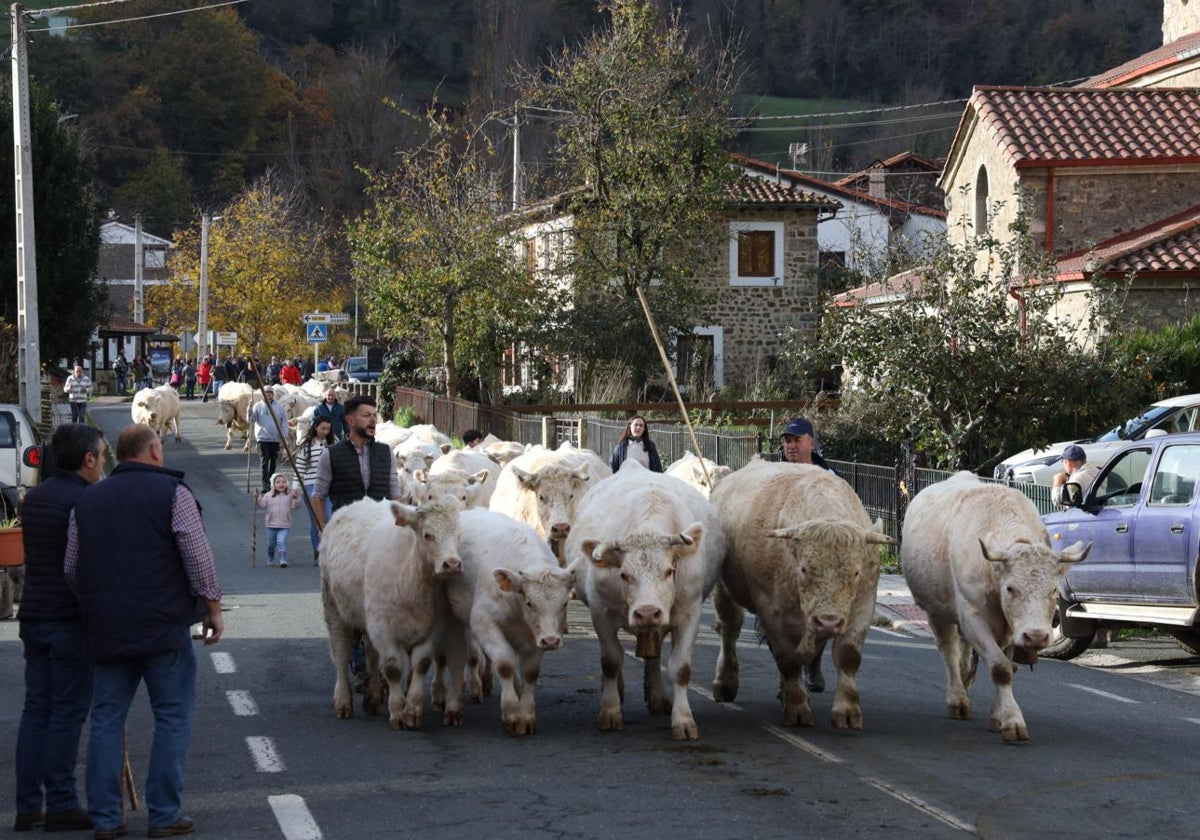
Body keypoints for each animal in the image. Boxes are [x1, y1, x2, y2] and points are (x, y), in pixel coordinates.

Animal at [319, 499, 463, 729]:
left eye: (459, 534)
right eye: (427, 535)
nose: (452, 564)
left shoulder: (433, 628)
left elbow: (421, 663)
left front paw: (412, 710)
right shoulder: (383, 629)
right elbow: (393, 668)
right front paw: (397, 712)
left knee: (370, 652)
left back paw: (373, 696)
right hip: (334, 610)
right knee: (341, 653)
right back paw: (343, 701)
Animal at [444, 506, 573, 734]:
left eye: (565, 603)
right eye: (529, 602)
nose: (551, 641)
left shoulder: (534, 636)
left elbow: (530, 672)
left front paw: (526, 715)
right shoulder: (483, 622)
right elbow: (504, 663)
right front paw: (511, 713)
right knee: (465, 658)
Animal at [561, 458, 720, 739]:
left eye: (669, 571)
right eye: (624, 574)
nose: (646, 612)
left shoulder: (689, 613)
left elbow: (680, 668)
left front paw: (683, 719)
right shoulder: (601, 612)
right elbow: (611, 661)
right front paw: (610, 711)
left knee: (653, 658)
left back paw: (657, 696)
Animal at [710, 458, 892, 729]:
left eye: (856, 572)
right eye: (804, 568)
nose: (828, 621)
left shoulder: (862, 605)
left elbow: (847, 655)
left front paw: (847, 711)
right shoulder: (771, 612)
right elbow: (788, 659)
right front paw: (796, 707)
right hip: (724, 590)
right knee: (730, 630)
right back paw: (725, 683)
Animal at [902, 472, 1094, 739]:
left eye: (1054, 591)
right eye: (1011, 588)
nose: (1036, 636)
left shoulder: (1013, 630)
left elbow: (1009, 667)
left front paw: (998, 716)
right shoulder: (973, 616)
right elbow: (1000, 668)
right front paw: (1013, 721)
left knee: (964, 654)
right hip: (937, 612)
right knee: (949, 650)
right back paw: (958, 698)